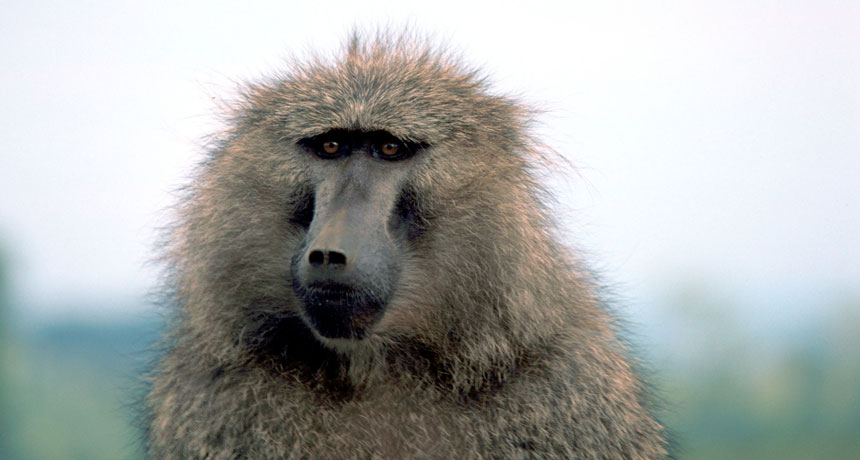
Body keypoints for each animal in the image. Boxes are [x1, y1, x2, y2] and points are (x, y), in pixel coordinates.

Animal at [145, 32, 669, 459]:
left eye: (389, 149)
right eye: (331, 147)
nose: (330, 254)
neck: (376, 367)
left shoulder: (561, 388)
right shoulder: (222, 392)